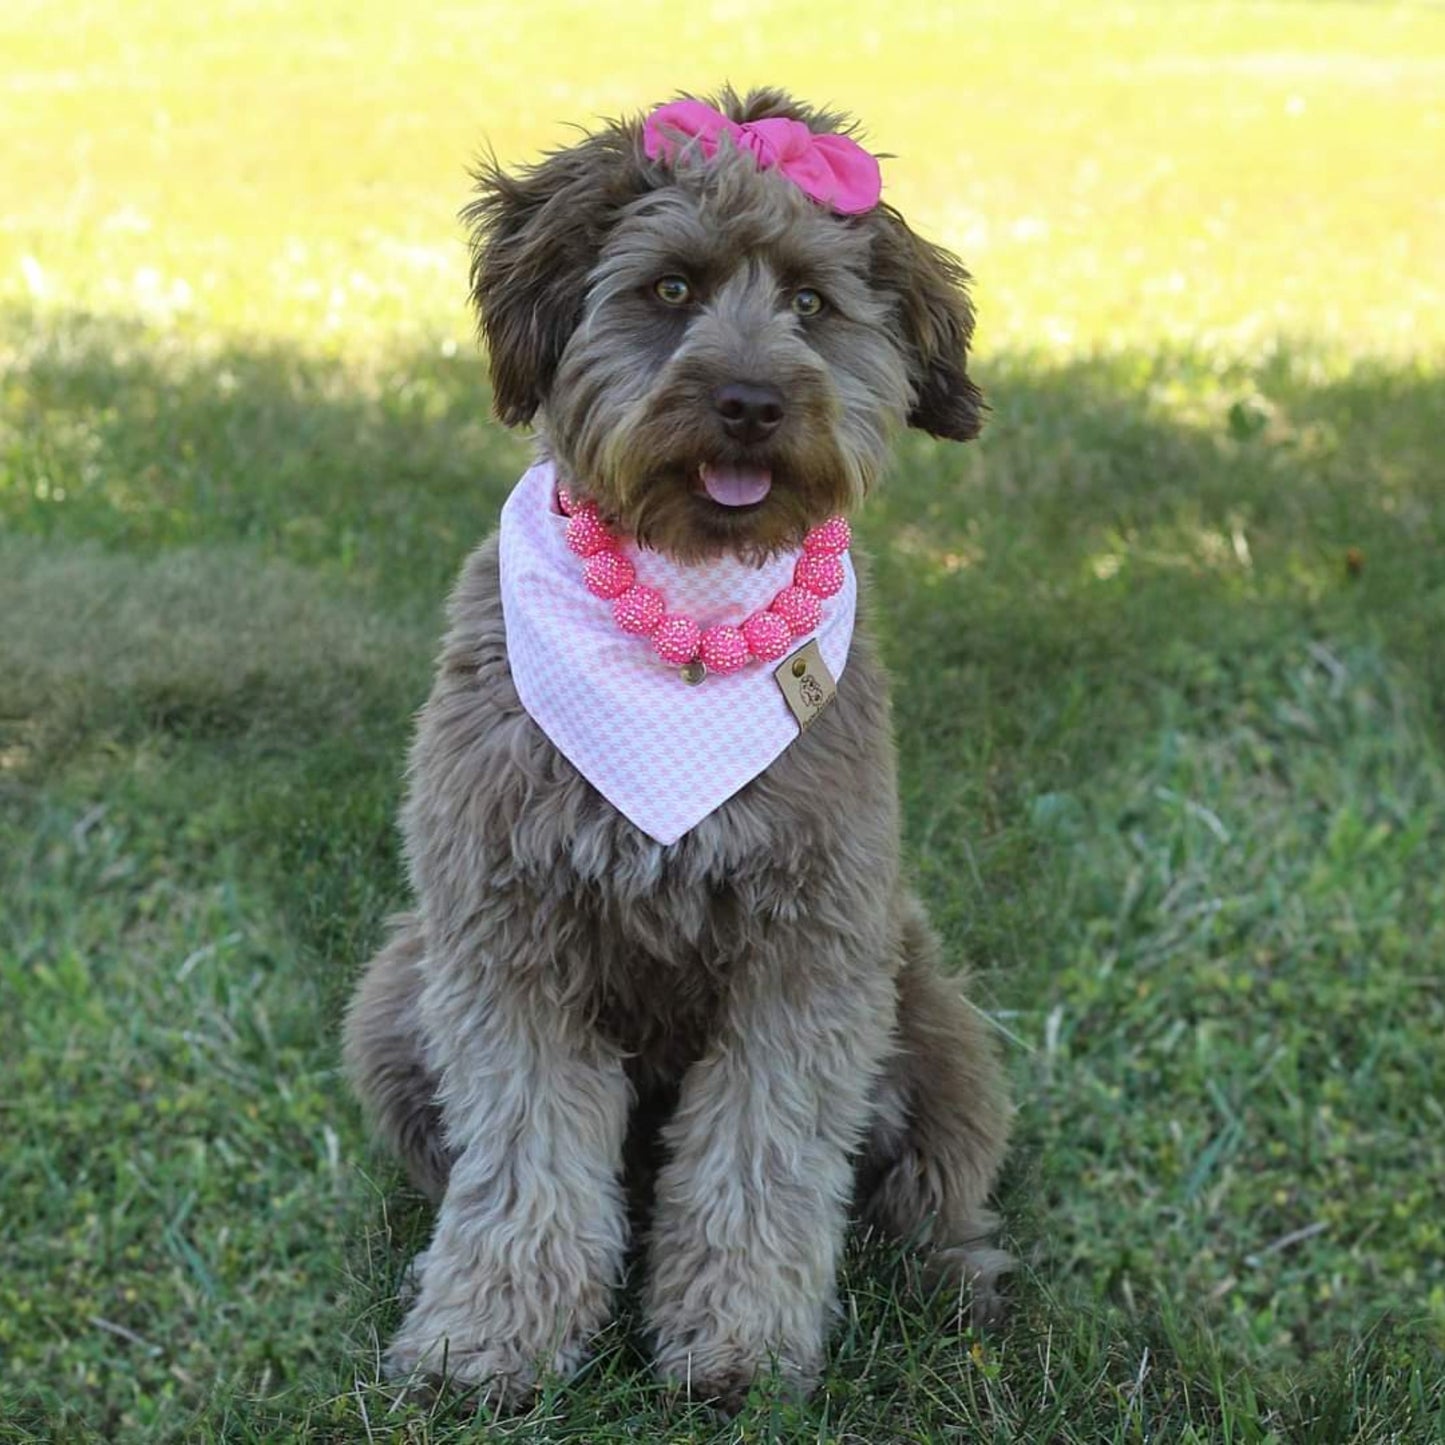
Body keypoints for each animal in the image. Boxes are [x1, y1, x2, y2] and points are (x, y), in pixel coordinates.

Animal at [342, 87, 1011, 1410]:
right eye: (667, 288)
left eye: (809, 303)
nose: (751, 400)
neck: (689, 611)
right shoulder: (504, 939)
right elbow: (523, 1161)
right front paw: (486, 1341)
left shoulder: (806, 951)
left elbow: (758, 1161)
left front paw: (737, 1348)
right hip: (395, 992)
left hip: (931, 1013)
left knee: (931, 1187)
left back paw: (958, 1277)